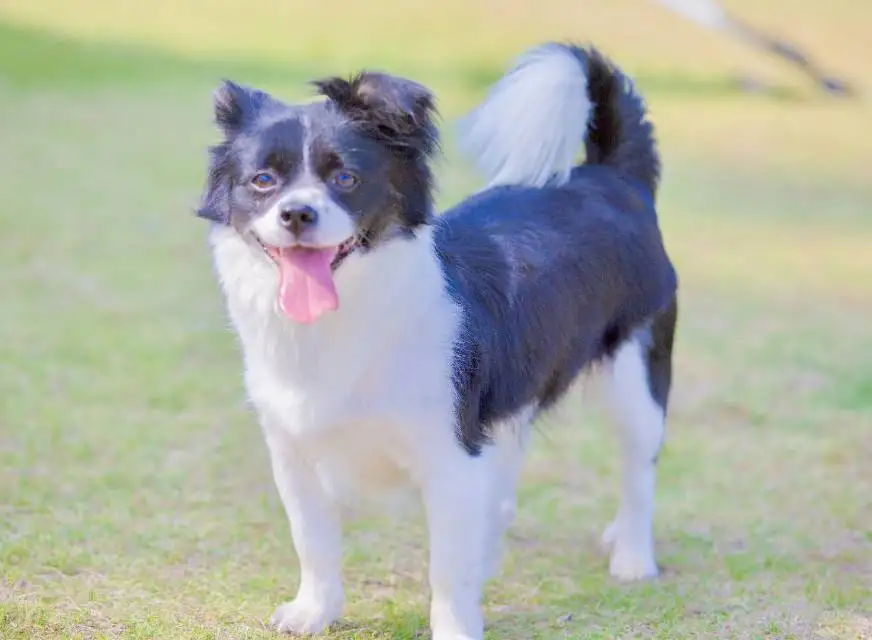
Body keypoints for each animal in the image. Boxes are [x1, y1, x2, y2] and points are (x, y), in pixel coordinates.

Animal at [199, 42, 680, 636]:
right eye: (263, 180)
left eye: (347, 179)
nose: (296, 213)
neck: (347, 316)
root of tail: (613, 179)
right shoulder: (293, 451)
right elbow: (312, 539)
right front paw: (315, 610)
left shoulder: (451, 456)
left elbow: (447, 567)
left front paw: (455, 626)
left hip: (637, 376)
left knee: (639, 466)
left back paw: (633, 555)